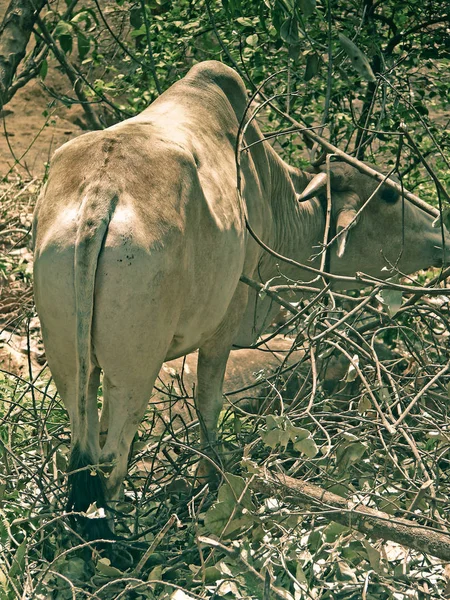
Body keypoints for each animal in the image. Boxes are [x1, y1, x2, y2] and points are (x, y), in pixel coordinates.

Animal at [32, 59, 450, 528]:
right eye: (390, 195)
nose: (441, 231)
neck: (274, 194)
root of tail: (102, 190)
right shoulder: (228, 315)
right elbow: (208, 402)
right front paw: (211, 479)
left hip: (70, 362)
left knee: (84, 446)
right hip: (136, 368)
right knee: (111, 460)